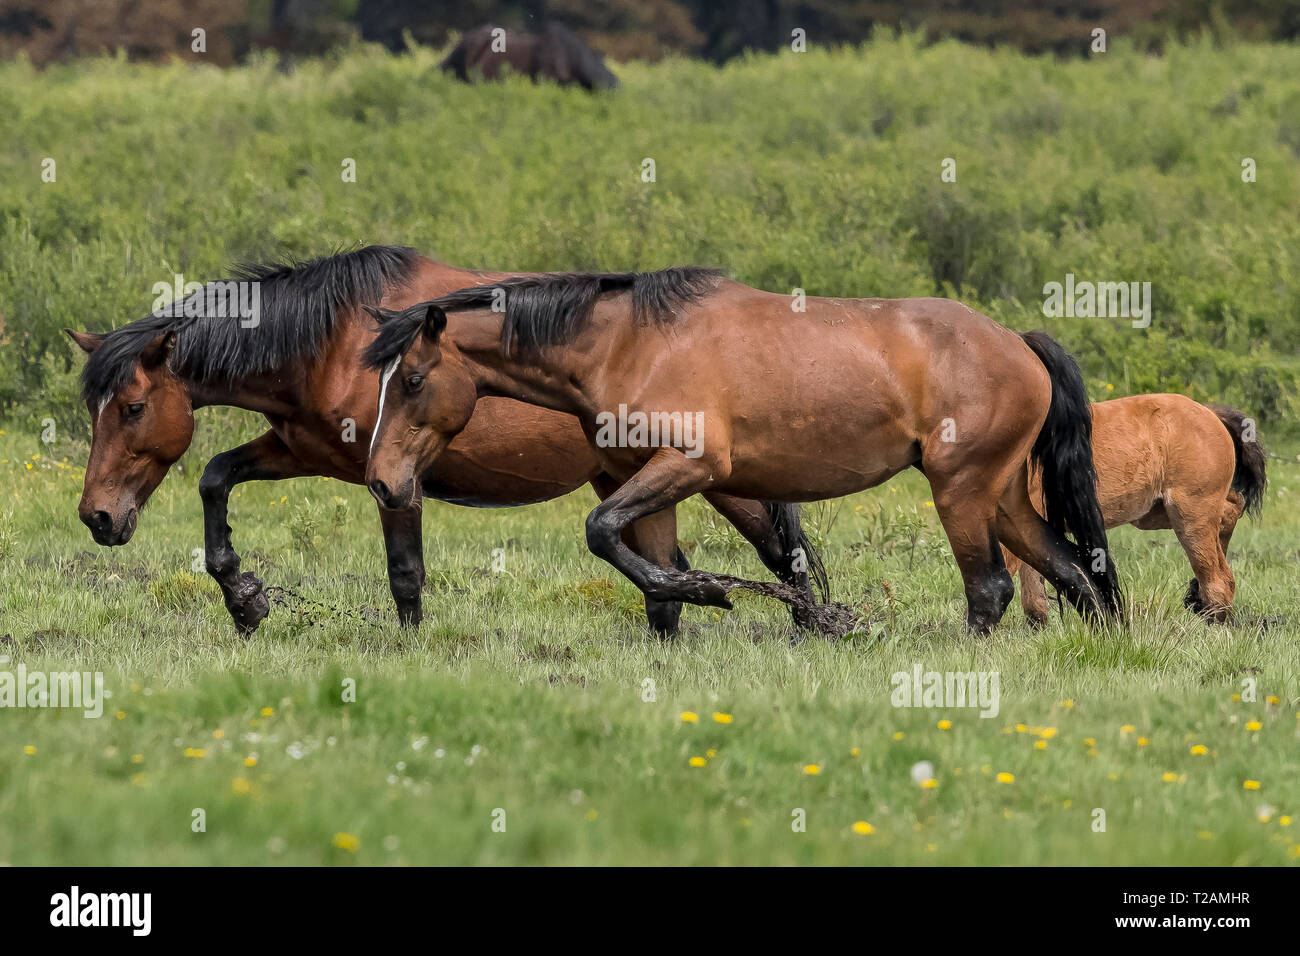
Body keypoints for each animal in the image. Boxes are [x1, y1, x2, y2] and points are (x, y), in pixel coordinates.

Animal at [67, 247, 823, 636]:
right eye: (94, 410)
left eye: (132, 407)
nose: (98, 516)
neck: (335, 341)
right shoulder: (306, 451)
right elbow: (216, 477)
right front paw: (244, 598)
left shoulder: (394, 479)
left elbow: (405, 572)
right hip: (628, 482)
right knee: (671, 574)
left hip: (713, 479)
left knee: (781, 554)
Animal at [362, 268, 1124, 633]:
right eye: (384, 381)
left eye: (414, 380)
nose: (383, 482)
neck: (627, 343)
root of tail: (1019, 343)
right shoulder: (646, 479)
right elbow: (652, 580)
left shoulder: (691, 466)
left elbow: (602, 533)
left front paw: (713, 591)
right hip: (1002, 498)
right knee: (1074, 572)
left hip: (961, 491)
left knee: (991, 589)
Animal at [1001, 394, 1266, 625]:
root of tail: (1209, 412)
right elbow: (1034, 592)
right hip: (1163, 513)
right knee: (1232, 508)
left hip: (1190, 513)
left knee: (1219, 578)